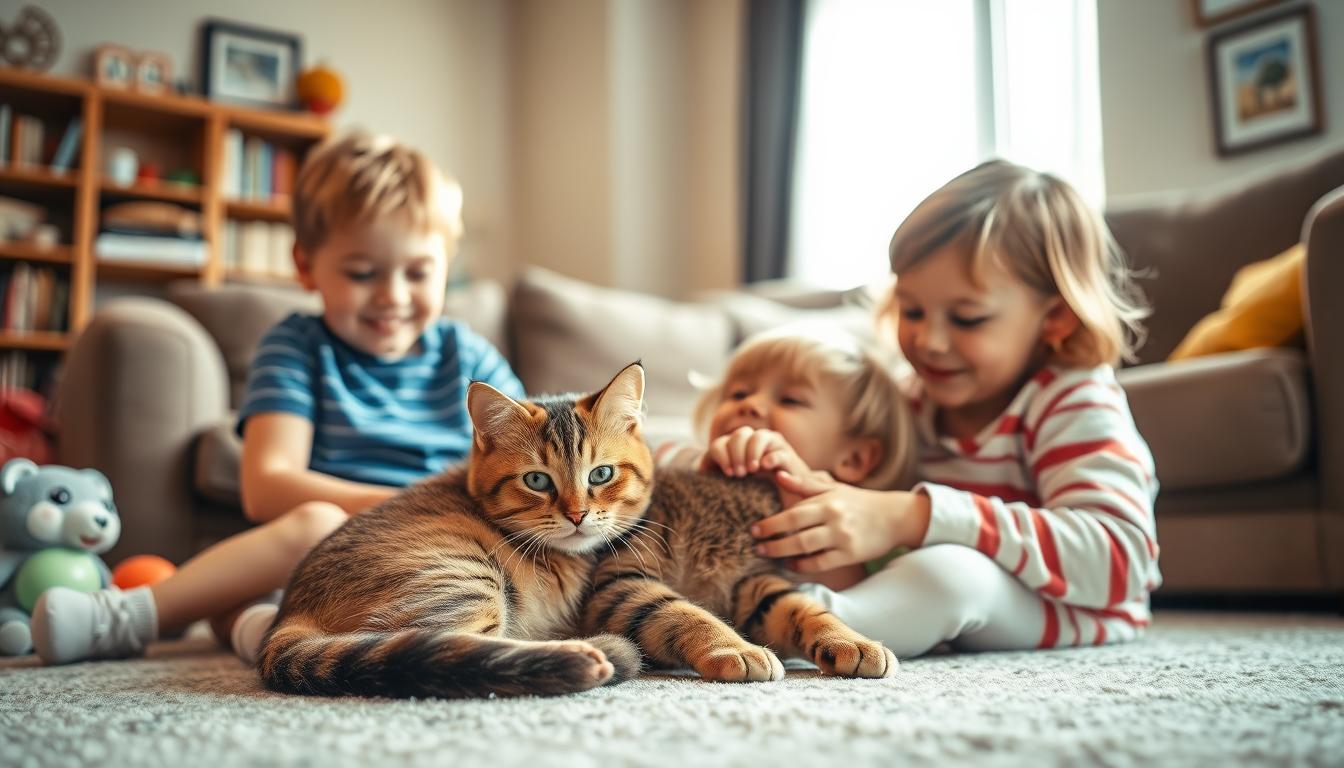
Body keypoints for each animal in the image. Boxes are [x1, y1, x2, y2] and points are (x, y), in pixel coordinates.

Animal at [259, 363, 892, 699]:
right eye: (537, 480)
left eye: (601, 474)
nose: (578, 514)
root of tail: (286, 617)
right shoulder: (622, 586)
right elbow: (684, 613)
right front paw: (732, 647)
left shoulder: (756, 584)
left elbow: (806, 610)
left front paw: (852, 641)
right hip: (463, 576)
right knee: (454, 650)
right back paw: (589, 656)